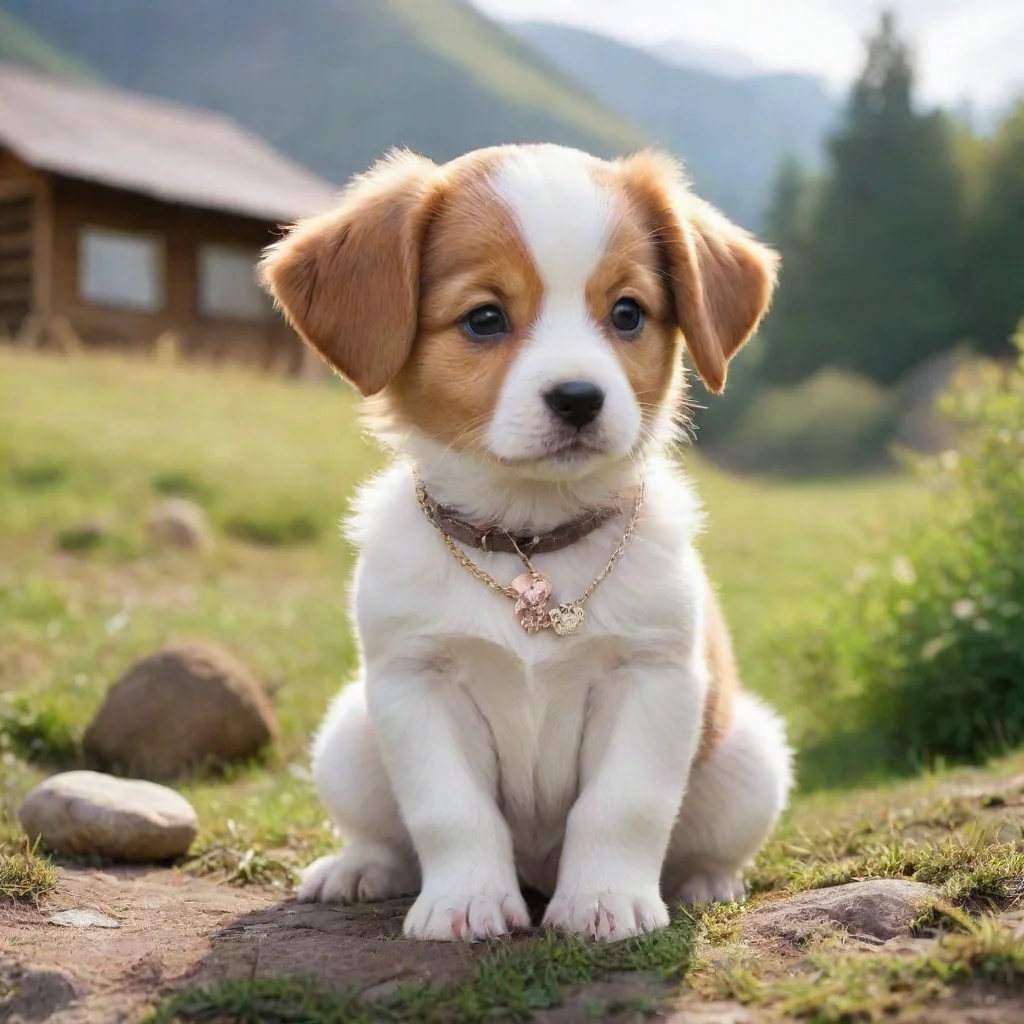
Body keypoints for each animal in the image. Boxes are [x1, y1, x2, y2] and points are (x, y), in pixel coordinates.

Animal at [260, 144, 794, 942]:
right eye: (485, 318)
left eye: (628, 313)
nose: (579, 398)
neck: (529, 545)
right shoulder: (414, 681)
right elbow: (450, 812)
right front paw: (466, 901)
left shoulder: (653, 676)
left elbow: (622, 806)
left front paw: (604, 900)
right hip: (349, 737)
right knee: (386, 836)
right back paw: (361, 868)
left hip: (750, 755)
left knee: (704, 841)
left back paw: (707, 881)